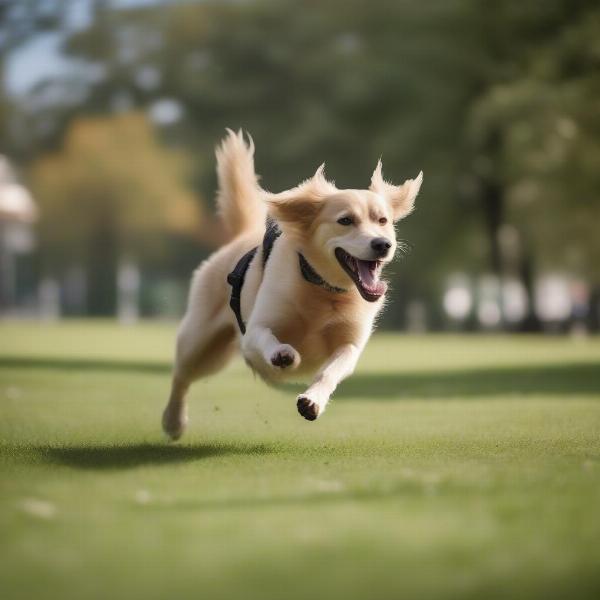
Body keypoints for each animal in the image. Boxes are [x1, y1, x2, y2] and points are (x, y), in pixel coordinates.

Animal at [162, 129, 420, 438]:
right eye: (346, 220)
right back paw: (173, 421)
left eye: (382, 220)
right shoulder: (254, 331)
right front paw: (282, 353)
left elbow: (331, 370)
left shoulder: (350, 344)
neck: (324, 291)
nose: (383, 244)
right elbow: (267, 337)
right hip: (200, 341)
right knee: (181, 374)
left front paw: (313, 401)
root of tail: (243, 235)